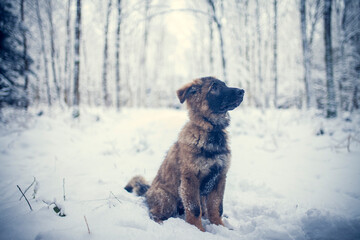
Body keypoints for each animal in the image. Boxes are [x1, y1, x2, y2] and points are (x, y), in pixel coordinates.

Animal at [124, 76, 245, 231]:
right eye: (214, 87)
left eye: (224, 84)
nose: (242, 91)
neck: (211, 131)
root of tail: (148, 190)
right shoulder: (190, 178)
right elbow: (194, 209)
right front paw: (198, 230)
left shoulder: (220, 176)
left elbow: (216, 207)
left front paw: (220, 226)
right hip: (167, 198)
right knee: (154, 213)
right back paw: (162, 223)